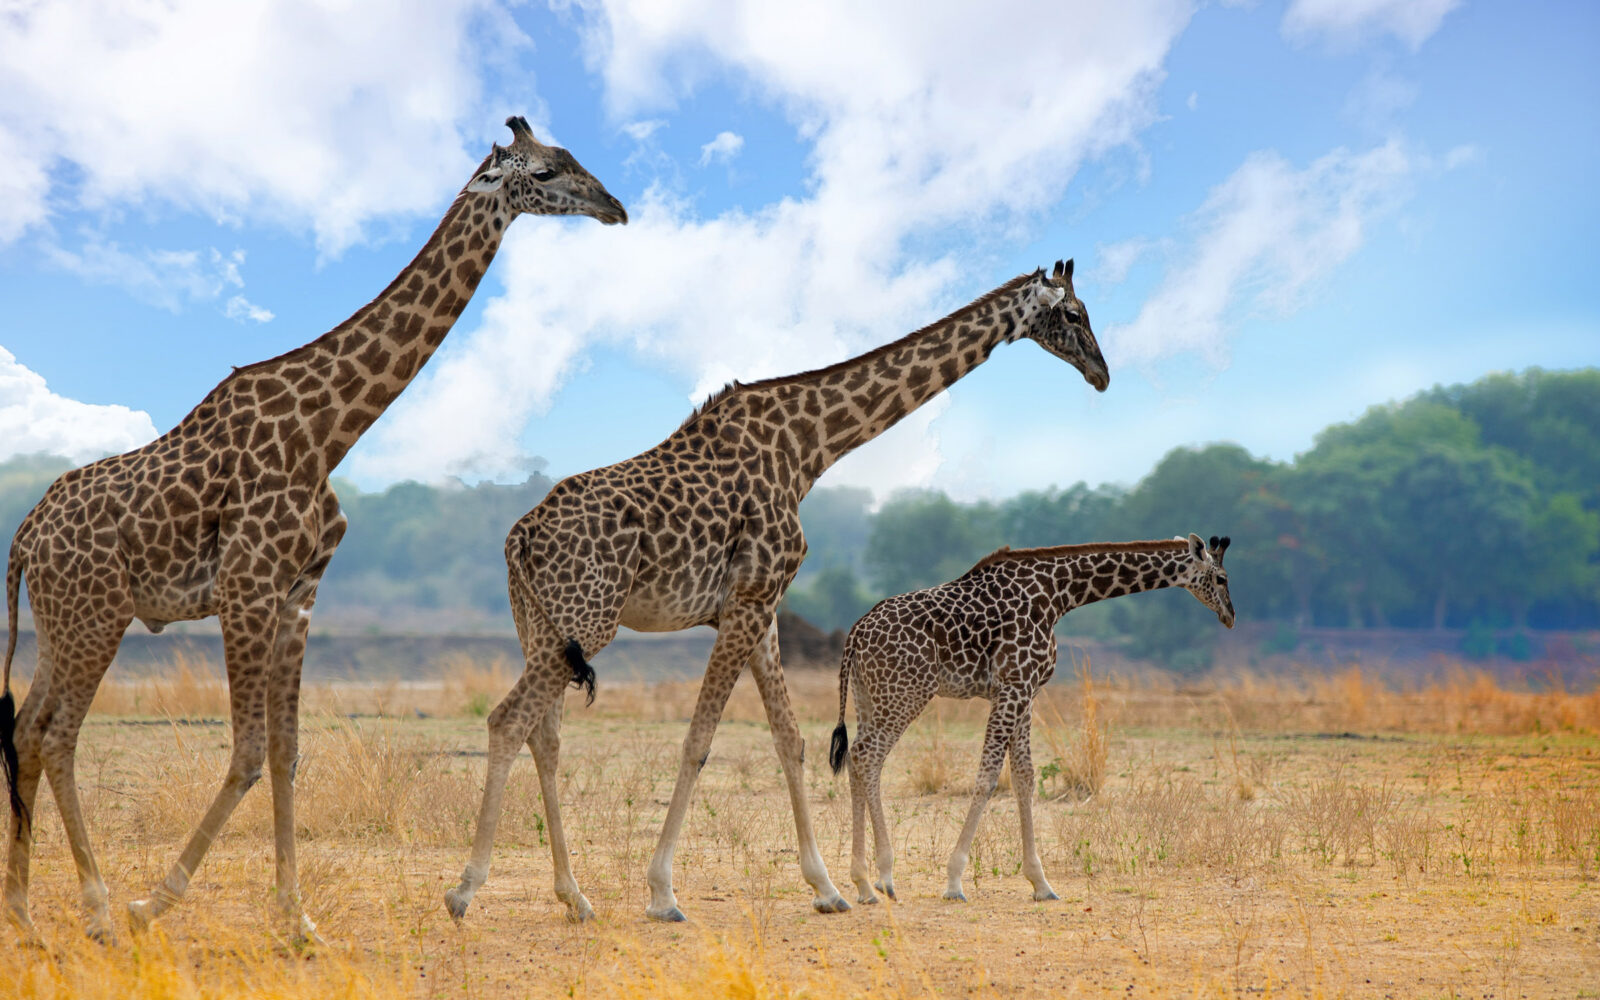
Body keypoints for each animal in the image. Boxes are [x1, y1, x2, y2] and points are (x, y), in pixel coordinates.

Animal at [0, 116, 626, 944]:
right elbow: (246, 751)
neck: (330, 431)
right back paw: (100, 907)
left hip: (64, 619)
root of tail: (24, 536)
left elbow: (288, 752)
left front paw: (295, 918)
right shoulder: (247, 585)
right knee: (58, 734)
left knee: (27, 728)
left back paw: (24, 913)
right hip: (96, 614)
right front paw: (157, 899)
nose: (616, 207)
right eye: (549, 171)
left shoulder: (299, 593)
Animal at [443, 258, 1109, 924]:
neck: (809, 447)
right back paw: (465, 889)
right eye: (1075, 314)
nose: (1102, 374)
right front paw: (663, 893)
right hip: (589, 620)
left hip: (543, 626)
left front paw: (828, 888)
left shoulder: (759, 609)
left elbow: (791, 740)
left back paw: (574, 896)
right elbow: (699, 740)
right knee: (508, 720)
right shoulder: (749, 600)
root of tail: (520, 536)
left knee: (544, 736)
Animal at [829, 534, 1234, 905]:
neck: (1059, 595)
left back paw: (866, 882)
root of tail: (854, 634)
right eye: (1222, 577)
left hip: (871, 696)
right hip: (906, 692)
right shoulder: (1014, 685)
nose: (1230, 616)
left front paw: (1041, 883)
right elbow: (988, 777)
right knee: (868, 756)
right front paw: (954, 882)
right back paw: (879, 878)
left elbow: (1024, 777)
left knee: (859, 758)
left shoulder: (1026, 691)